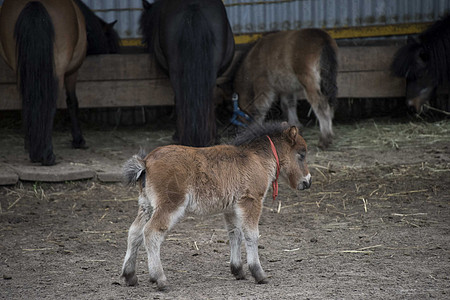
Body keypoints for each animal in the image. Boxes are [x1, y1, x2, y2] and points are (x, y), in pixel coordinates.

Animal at [0, 0, 119, 165]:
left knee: (29, 102)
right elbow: (72, 102)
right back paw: (46, 155)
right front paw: (78, 140)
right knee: (50, 104)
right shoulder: (72, 73)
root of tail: (34, 3)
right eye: (111, 44)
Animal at [121, 122, 312, 290]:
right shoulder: (251, 201)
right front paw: (259, 274)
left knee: (134, 232)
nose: (307, 182)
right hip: (169, 205)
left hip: (146, 206)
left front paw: (238, 270)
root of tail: (146, 162)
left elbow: (235, 234)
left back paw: (130, 276)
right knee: (151, 232)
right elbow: (251, 235)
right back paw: (160, 279)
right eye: (301, 154)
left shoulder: (231, 208)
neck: (256, 158)